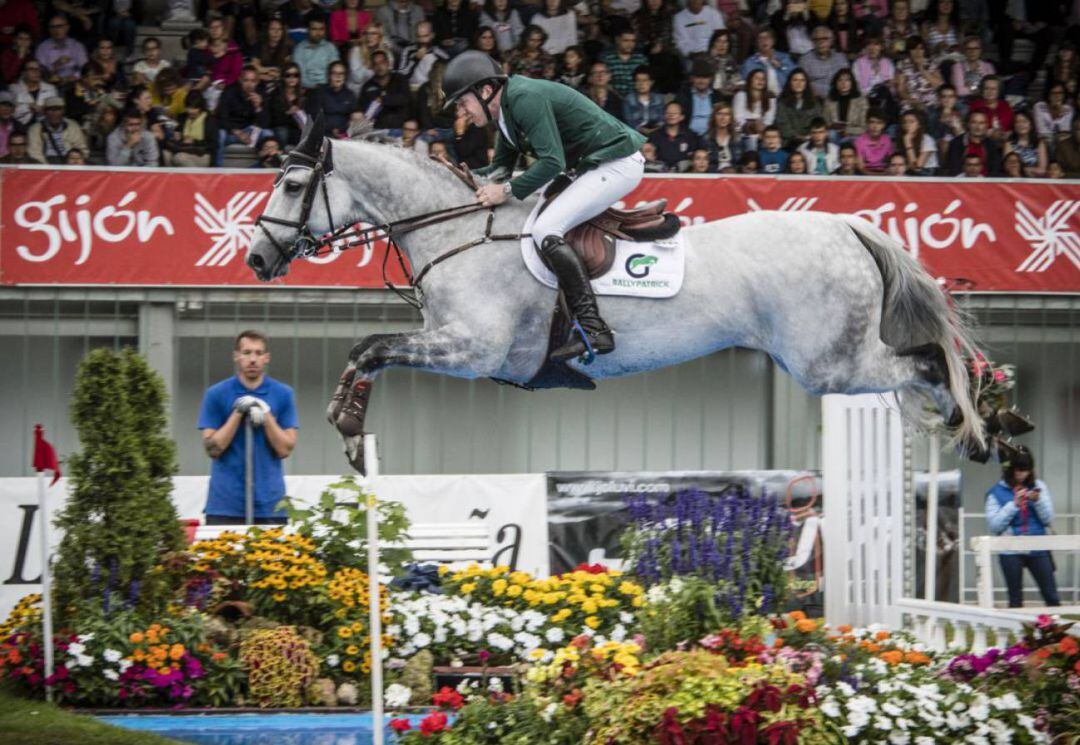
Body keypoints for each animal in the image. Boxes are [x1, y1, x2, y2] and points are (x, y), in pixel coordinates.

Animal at [248, 118, 984, 472]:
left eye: (293, 186)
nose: (256, 258)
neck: (457, 229)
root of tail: (846, 223)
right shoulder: (447, 344)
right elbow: (369, 349)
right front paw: (348, 430)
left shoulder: (473, 351)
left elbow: (371, 346)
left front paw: (347, 429)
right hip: (826, 359)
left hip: (826, 362)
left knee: (928, 361)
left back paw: (976, 426)